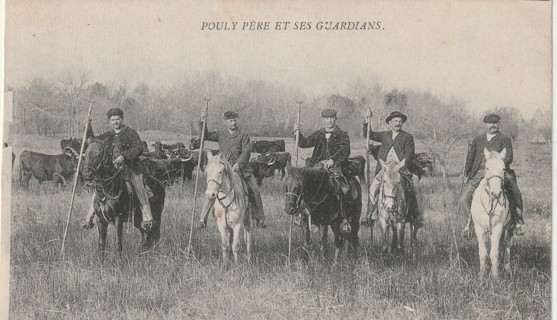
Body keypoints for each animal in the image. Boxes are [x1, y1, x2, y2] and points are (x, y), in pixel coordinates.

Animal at [472, 149, 510, 278]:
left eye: (503, 168)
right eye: (487, 168)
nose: (496, 193)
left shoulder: (498, 227)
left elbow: (494, 253)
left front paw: (495, 276)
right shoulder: (479, 228)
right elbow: (483, 252)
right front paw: (482, 274)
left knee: (506, 245)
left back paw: (507, 268)